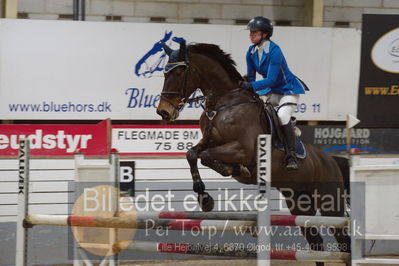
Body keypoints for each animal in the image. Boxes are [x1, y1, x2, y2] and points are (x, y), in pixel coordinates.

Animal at [156, 40, 350, 266]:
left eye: (179, 73)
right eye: (164, 73)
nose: (163, 112)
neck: (223, 103)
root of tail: (332, 160)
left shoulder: (243, 150)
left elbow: (207, 156)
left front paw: (231, 172)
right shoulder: (208, 141)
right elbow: (193, 154)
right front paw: (205, 198)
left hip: (330, 203)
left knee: (343, 240)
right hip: (300, 204)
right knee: (316, 243)